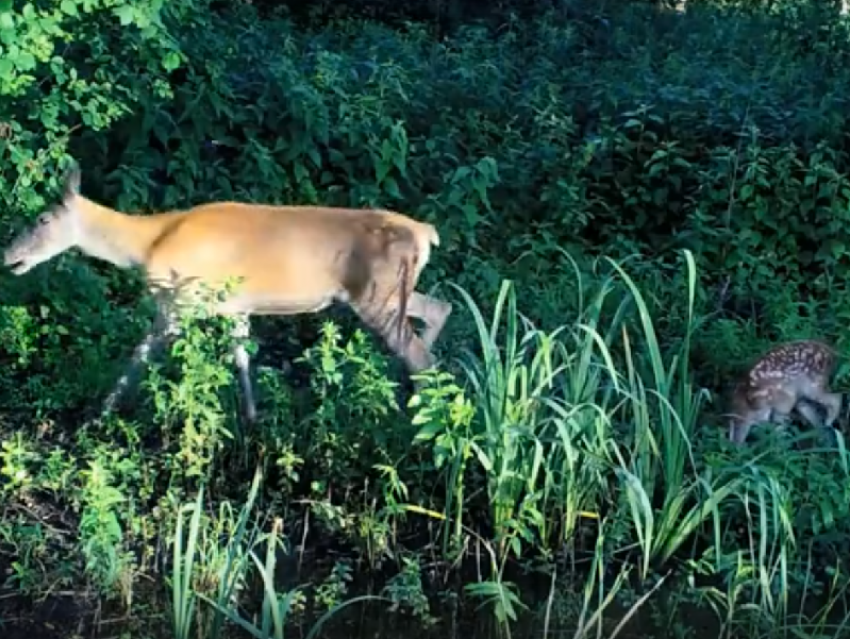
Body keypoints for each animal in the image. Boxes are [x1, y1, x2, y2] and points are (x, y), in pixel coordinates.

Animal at [3, 165, 450, 422]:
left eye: (42, 219)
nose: (8, 254)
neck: (147, 243)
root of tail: (426, 233)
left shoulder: (180, 300)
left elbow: (140, 354)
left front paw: (100, 414)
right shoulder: (235, 307)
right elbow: (242, 359)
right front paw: (252, 419)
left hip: (377, 296)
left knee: (421, 356)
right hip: (389, 293)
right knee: (440, 309)